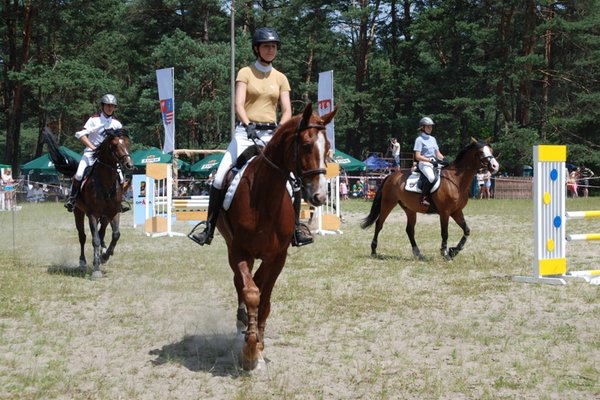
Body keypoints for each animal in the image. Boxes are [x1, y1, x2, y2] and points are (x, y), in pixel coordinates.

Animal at [44, 128, 134, 278]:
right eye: (114, 145)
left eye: (127, 144)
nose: (129, 165)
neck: (105, 183)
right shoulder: (92, 214)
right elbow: (95, 239)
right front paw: (96, 268)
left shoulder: (113, 213)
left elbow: (115, 235)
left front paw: (105, 256)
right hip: (78, 213)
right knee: (83, 236)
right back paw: (83, 262)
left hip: (104, 216)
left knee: (101, 233)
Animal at [217, 104, 336, 372]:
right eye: (306, 145)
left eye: (327, 147)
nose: (320, 196)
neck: (264, 200)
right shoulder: (239, 251)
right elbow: (251, 293)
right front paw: (250, 351)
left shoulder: (278, 257)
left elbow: (265, 299)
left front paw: (258, 347)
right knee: (240, 283)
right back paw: (241, 324)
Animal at [364, 139, 500, 260]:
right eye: (481, 152)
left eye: (491, 150)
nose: (495, 166)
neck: (456, 181)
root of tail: (390, 176)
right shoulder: (445, 213)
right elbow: (445, 233)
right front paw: (445, 253)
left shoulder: (456, 212)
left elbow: (466, 230)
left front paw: (454, 251)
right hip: (388, 203)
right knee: (379, 224)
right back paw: (373, 251)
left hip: (410, 209)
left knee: (409, 230)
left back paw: (418, 254)